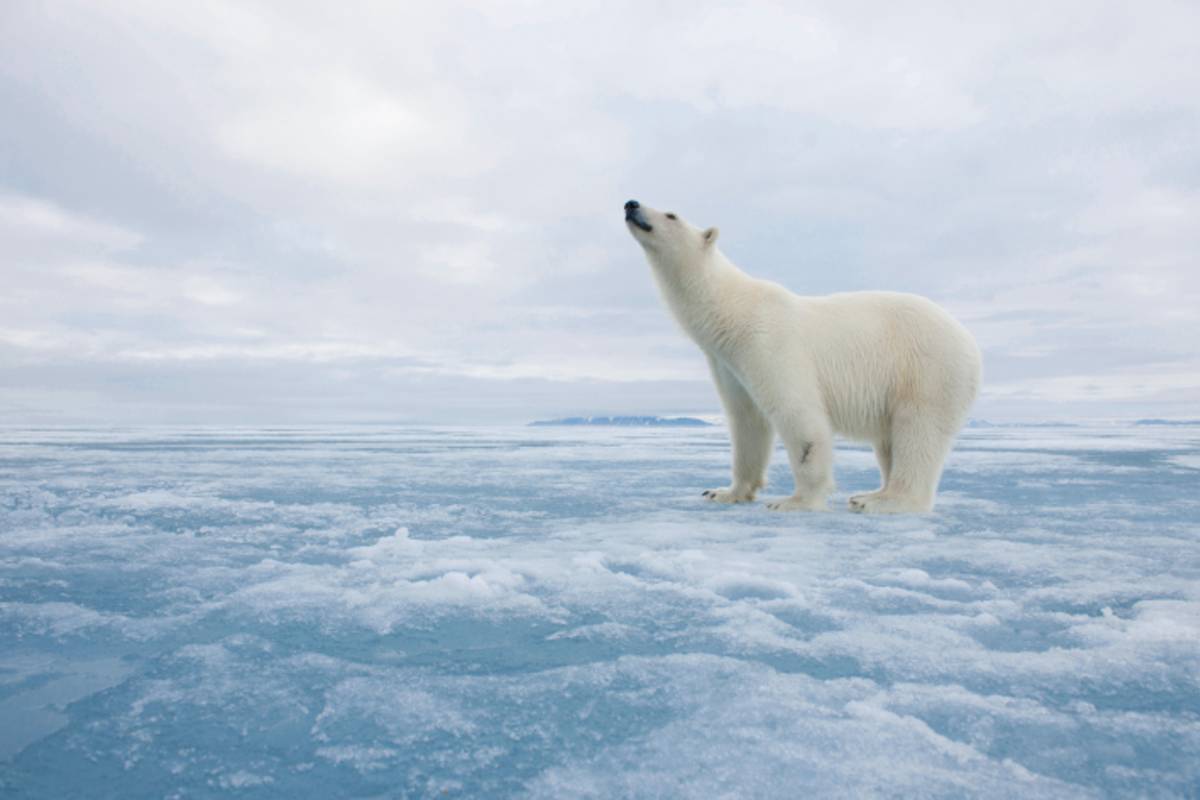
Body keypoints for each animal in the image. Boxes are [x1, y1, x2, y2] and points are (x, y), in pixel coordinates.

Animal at [624, 200, 979, 513]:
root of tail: (970, 345)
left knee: (917, 432)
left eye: (671, 214)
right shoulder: (729, 363)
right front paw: (725, 492)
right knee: (890, 440)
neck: (735, 313)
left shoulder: (770, 344)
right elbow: (746, 422)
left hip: (927, 370)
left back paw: (881, 500)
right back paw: (873, 492)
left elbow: (798, 415)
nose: (631, 204)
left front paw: (794, 501)